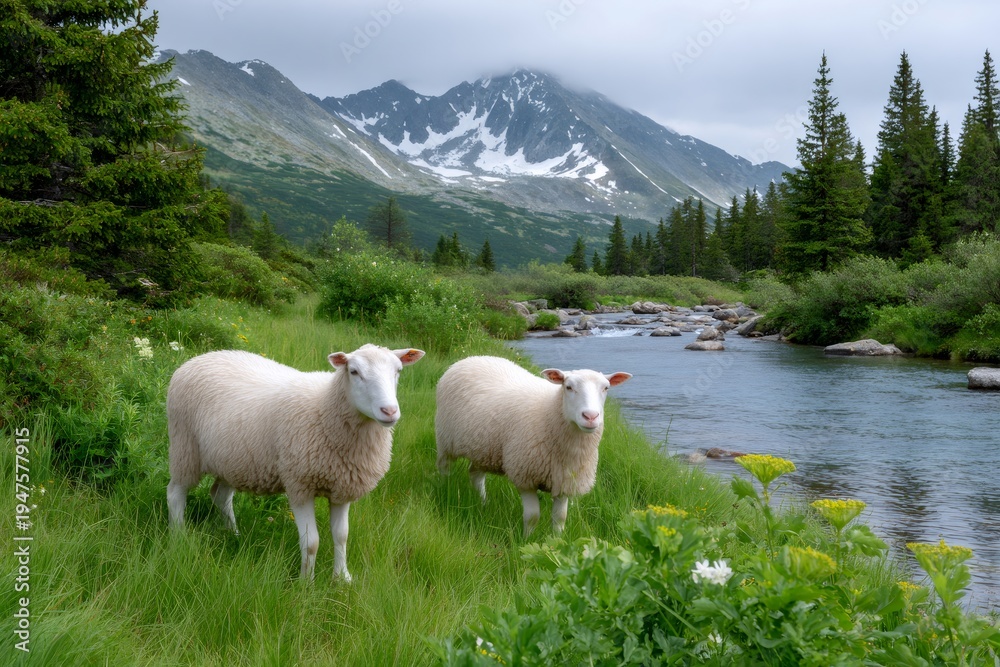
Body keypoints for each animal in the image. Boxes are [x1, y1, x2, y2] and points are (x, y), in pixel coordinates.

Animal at [166, 344, 425, 581]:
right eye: (354, 371)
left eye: (398, 371)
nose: (389, 411)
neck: (325, 408)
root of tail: (202, 357)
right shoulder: (300, 485)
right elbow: (311, 542)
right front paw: (306, 584)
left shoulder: (342, 487)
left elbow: (341, 536)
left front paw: (342, 578)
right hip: (184, 448)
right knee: (175, 494)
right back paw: (179, 537)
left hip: (233, 460)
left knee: (220, 495)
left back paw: (233, 534)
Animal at [435, 355, 631, 536]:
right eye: (568, 387)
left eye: (606, 388)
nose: (590, 416)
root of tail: (472, 358)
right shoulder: (525, 477)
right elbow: (532, 517)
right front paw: (526, 539)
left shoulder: (564, 481)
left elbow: (560, 518)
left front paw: (556, 541)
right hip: (445, 438)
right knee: (444, 466)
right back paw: (445, 488)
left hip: (482, 449)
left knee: (475, 474)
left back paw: (483, 503)